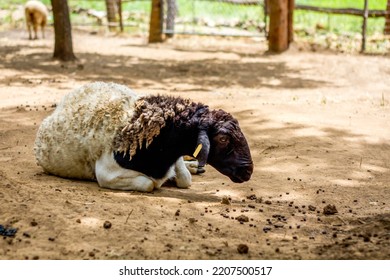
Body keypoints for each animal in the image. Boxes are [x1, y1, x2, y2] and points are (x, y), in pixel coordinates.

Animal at [35, 81, 254, 192]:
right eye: (223, 139)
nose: (248, 171)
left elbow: (185, 177)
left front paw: (187, 169)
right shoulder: (106, 174)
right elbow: (149, 184)